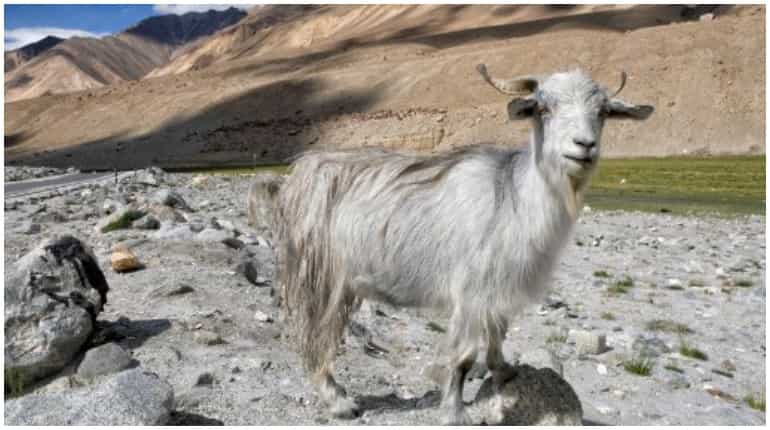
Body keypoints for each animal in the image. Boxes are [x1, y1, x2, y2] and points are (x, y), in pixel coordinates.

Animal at [273, 64, 653, 424]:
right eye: (544, 108)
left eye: (603, 111)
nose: (584, 145)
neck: (514, 198)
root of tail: (302, 170)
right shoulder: (471, 291)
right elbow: (464, 358)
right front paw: (454, 412)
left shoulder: (498, 289)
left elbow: (498, 333)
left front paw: (504, 370)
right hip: (321, 276)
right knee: (318, 335)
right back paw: (338, 401)